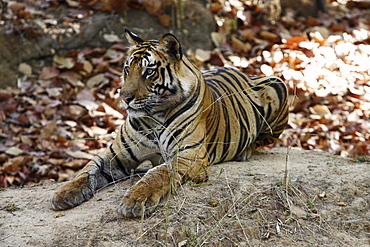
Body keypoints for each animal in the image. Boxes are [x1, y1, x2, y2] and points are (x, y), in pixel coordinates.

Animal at [49, 29, 290, 217]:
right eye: (127, 69)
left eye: (148, 71)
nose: (124, 97)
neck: (152, 116)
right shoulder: (116, 154)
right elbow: (87, 170)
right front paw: (64, 193)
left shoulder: (188, 156)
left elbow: (157, 174)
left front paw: (135, 200)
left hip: (278, 85)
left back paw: (245, 151)